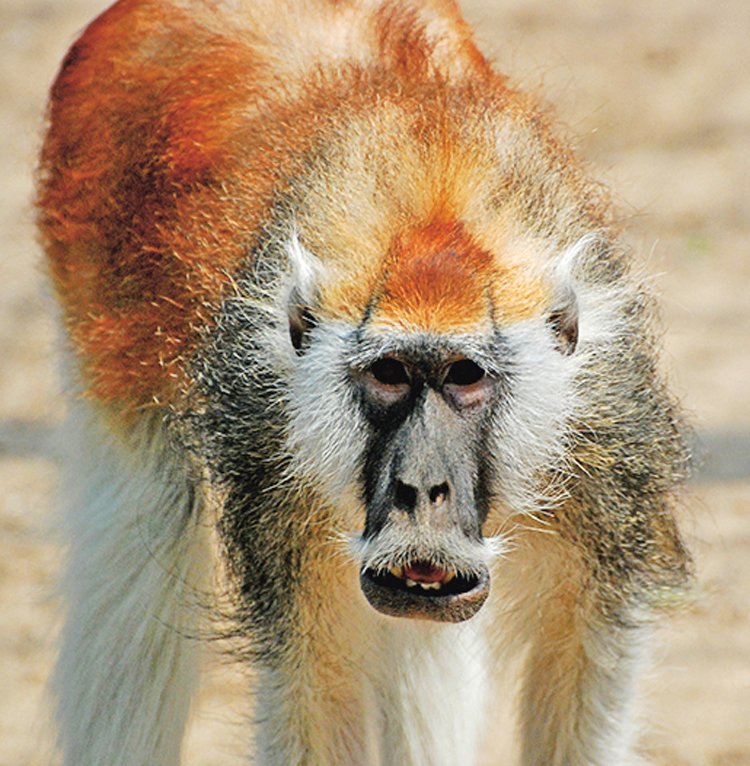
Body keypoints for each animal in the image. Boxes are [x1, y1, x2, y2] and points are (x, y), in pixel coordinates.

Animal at [35, 1, 692, 766]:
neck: (431, 190)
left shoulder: (604, 437)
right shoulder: (273, 456)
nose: (420, 488)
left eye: (465, 376)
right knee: (143, 533)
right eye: (389, 374)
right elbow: (316, 679)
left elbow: (578, 660)